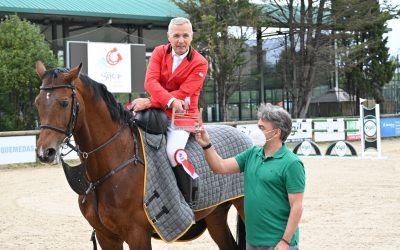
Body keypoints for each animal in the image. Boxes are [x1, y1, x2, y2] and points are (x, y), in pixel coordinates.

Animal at [34, 61, 245, 250]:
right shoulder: (106, 237)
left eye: (64, 102)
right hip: (215, 216)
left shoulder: (137, 235)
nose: (45, 152)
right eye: (37, 102)